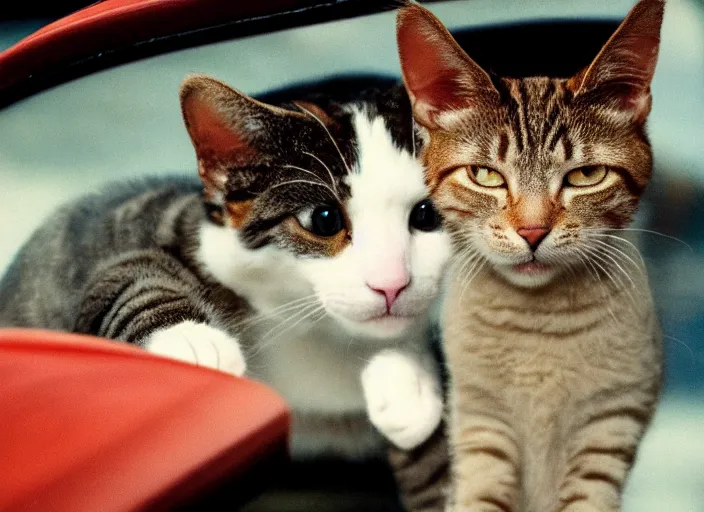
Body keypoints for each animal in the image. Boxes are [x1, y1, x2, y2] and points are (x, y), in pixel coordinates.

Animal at [0, 75, 448, 460]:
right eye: (323, 220)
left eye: (429, 213)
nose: (391, 284)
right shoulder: (144, 224)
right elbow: (121, 275)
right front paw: (190, 339)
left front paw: (409, 377)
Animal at [366, 0, 668, 510]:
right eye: (485, 175)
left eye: (585, 175)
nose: (532, 231)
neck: (538, 327)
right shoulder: (481, 425)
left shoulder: (611, 424)